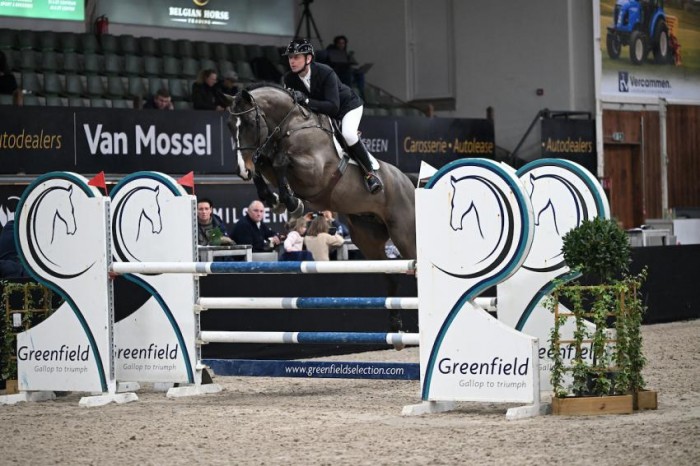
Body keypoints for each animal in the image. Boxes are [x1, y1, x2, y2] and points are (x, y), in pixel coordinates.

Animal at [226, 83, 417, 262]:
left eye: (250, 123)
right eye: (229, 126)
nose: (241, 170)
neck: (292, 125)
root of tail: (408, 182)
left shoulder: (314, 173)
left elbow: (279, 161)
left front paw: (292, 203)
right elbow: (261, 164)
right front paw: (275, 201)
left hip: (404, 235)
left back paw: (374, 182)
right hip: (367, 236)